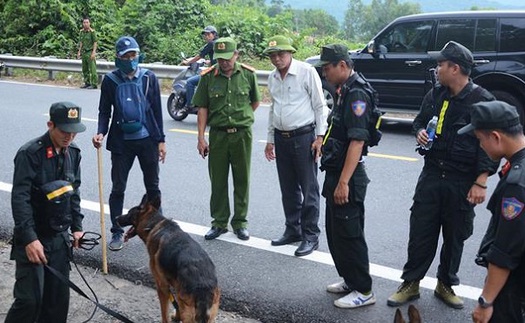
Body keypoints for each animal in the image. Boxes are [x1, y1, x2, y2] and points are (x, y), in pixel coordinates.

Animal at [116, 195, 219, 323]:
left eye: (129, 213)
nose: (116, 218)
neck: (154, 224)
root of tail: (203, 287)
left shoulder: (162, 286)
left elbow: (164, 313)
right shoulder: (174, 286)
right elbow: (176, 304)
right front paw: (176, 317)